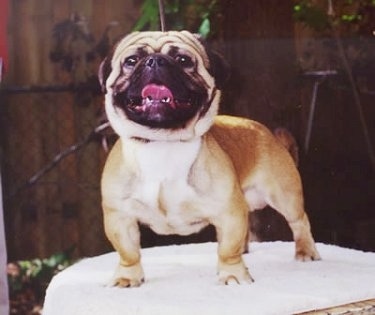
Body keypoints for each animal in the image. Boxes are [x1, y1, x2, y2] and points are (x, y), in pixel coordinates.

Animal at [97, 30, 320, 288]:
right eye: (131, 61)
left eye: (183, 60)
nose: (155, 61)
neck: (163, 143)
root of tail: (268, 134)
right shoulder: (120, 217)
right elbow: (129, 252)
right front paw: (127, 277)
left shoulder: (228, 212)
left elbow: (227, 249)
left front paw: (233, 274)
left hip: (284, 195)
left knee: (299, 221)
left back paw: (306, 252)